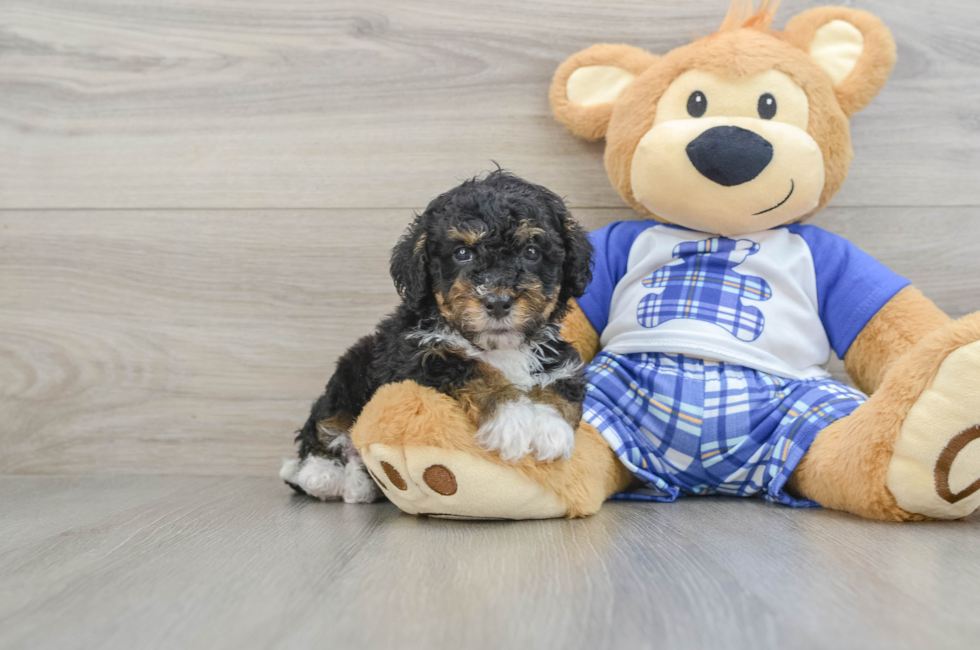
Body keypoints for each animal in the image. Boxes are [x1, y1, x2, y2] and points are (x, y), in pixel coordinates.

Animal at [280, 171, 592, 502]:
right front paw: (512, 417)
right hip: (350, 371)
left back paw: (359, 482)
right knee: (324, 424)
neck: (498, 346)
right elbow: (472, 367)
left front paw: (550, 426)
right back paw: (322, 474)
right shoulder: (414, 356)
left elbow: (560, 382)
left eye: (532, 252)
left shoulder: (556, 353)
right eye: (463, 253)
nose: (497, 302)